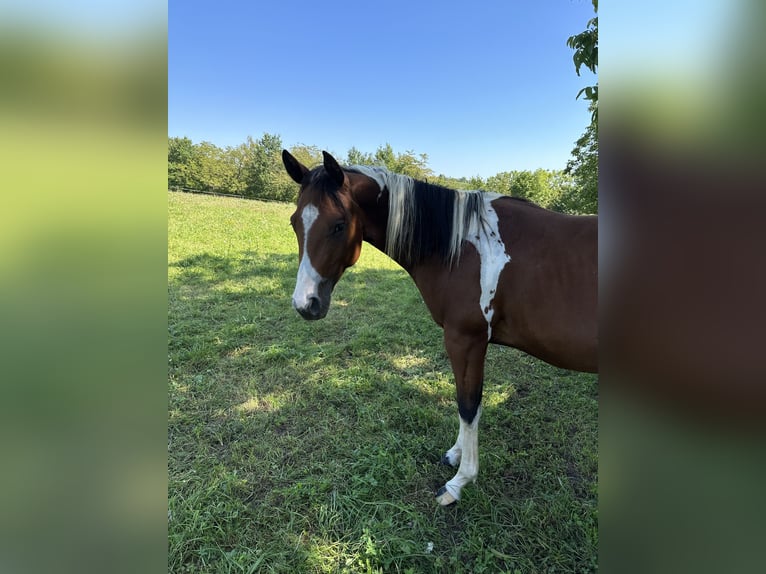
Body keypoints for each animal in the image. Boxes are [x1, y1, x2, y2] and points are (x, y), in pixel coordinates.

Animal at [282, 150, 600, 508]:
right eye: (295, 222)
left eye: (338, 225)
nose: (305, 303)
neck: (464, 245)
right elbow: (469, 403)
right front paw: (455, 456)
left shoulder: (465, 340)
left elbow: (468, 405)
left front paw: (459, 482)